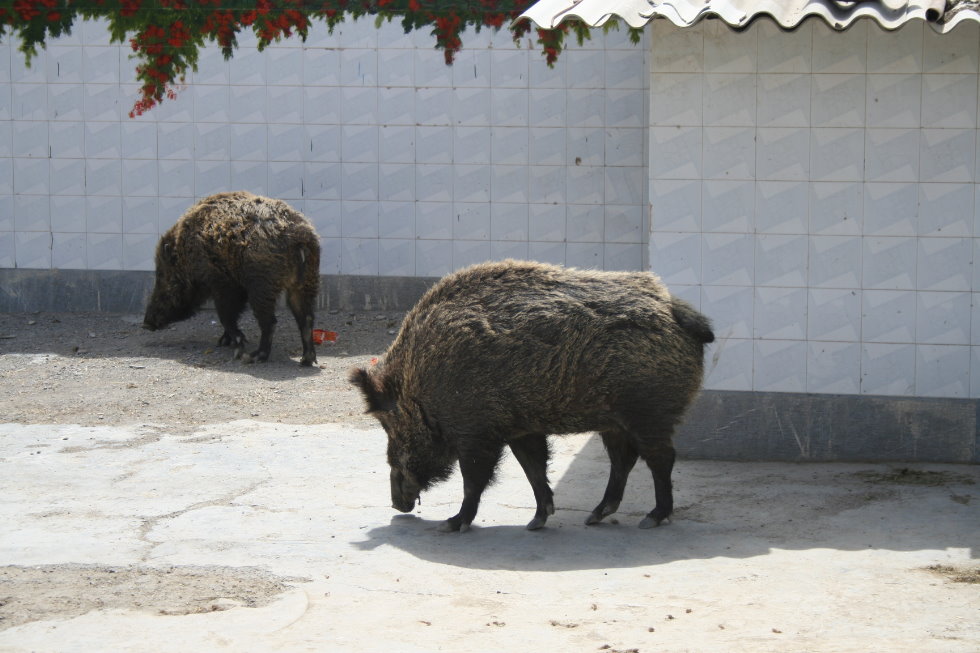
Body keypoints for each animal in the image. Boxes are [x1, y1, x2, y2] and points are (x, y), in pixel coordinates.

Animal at [143, 191, 321, 366]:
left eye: (162, 275)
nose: (146, 324)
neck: (186, 252)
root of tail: (300, 240)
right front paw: (224, 342)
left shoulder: (225, 284)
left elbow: (226, 315)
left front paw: (236, 346)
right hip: (307, 281)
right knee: (306, 318)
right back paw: (306, 360)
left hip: (263, 285)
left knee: (270, 321)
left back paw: (253, 357)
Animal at [350, 259, 714, 533]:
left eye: (389, 425)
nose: (396, 503)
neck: (421, 383)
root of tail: (679, 311)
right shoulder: (520, 429)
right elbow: (533, 468)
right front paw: (536, 521)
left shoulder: (476, 432)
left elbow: (474, 480)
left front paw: (451, 524)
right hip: (615, 421)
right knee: (622, 461)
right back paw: (593, 517)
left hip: (648, 413)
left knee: (661, 458)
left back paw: (652, 519)